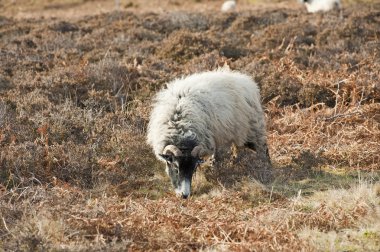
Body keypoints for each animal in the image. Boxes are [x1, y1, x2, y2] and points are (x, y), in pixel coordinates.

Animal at [146, 69, 270, 199]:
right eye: (175, 167)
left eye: (193, 168)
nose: (185, 195)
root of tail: (247, 81)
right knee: (235, 150)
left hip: (253, 129)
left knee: (263, 149)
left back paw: (267, 169)